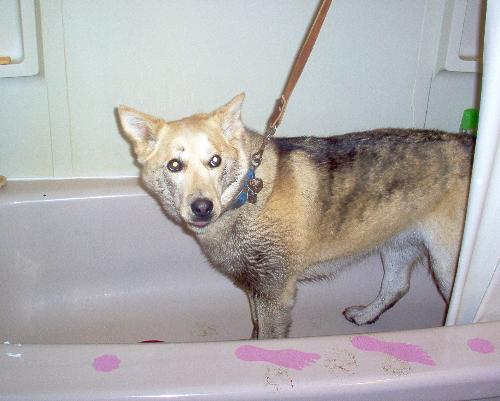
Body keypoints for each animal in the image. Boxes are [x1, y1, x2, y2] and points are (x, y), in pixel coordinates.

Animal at [116, 94, 472, 338]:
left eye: (214, 161)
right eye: (174, 165)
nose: (202, 207)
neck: (247, 194)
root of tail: (469, 142)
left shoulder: (276, 294)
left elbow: (268, 338)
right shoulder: (256, 287)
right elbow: (256, 327)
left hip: (446, 265)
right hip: (398, 245)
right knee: (397, 286)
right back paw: (365, 315)